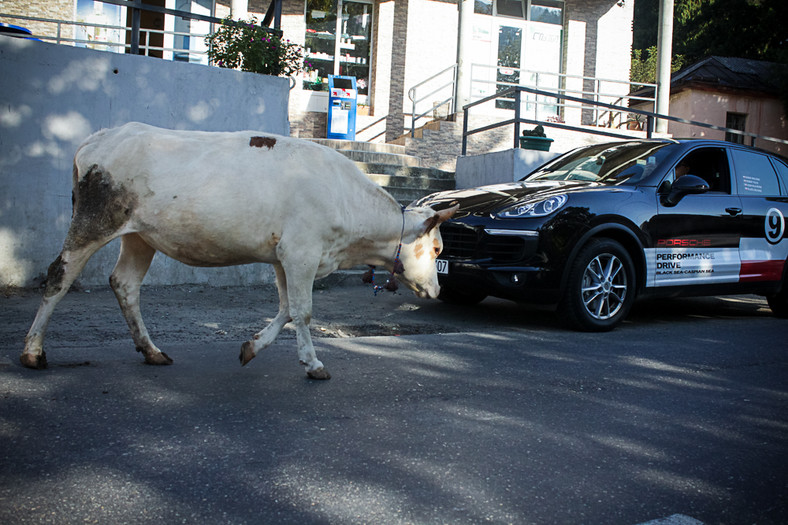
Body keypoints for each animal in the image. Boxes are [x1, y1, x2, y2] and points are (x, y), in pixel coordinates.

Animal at [23, 123, 456, 376]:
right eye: (436, 248)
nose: (438, 289)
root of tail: (100, 136)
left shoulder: (284, 256)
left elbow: (285, 309)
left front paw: (251, 348)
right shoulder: (301, 253)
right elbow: (303, 311)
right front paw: (313, 363)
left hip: (140, 235)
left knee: (125, 283)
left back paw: (152, 351)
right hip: (95, 220)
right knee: (59, 275)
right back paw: (33, 352)